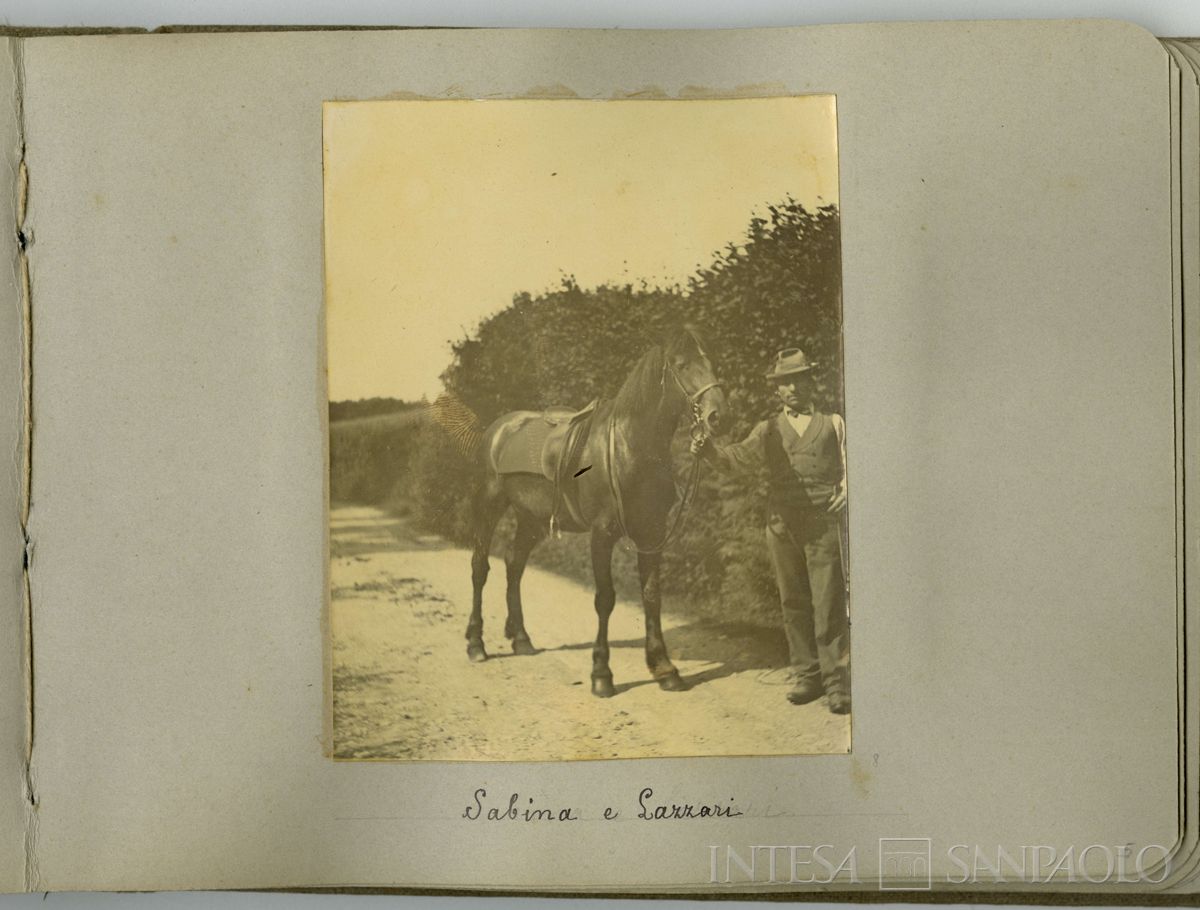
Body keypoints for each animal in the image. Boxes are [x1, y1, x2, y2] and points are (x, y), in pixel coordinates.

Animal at [465, 326, 728, 697]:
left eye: (711, 360)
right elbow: (605, 598)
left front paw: (664, 669)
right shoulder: (602, 533)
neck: (630, 447)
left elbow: (652, 596)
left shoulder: (653, 533)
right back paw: (476, 644)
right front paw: (602, 674)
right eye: (681, 364)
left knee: (514, 568)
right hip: (488, 507)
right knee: (480, 568)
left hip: (531, 520)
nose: (719, 416)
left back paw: (521, 639)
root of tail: (499, 429)